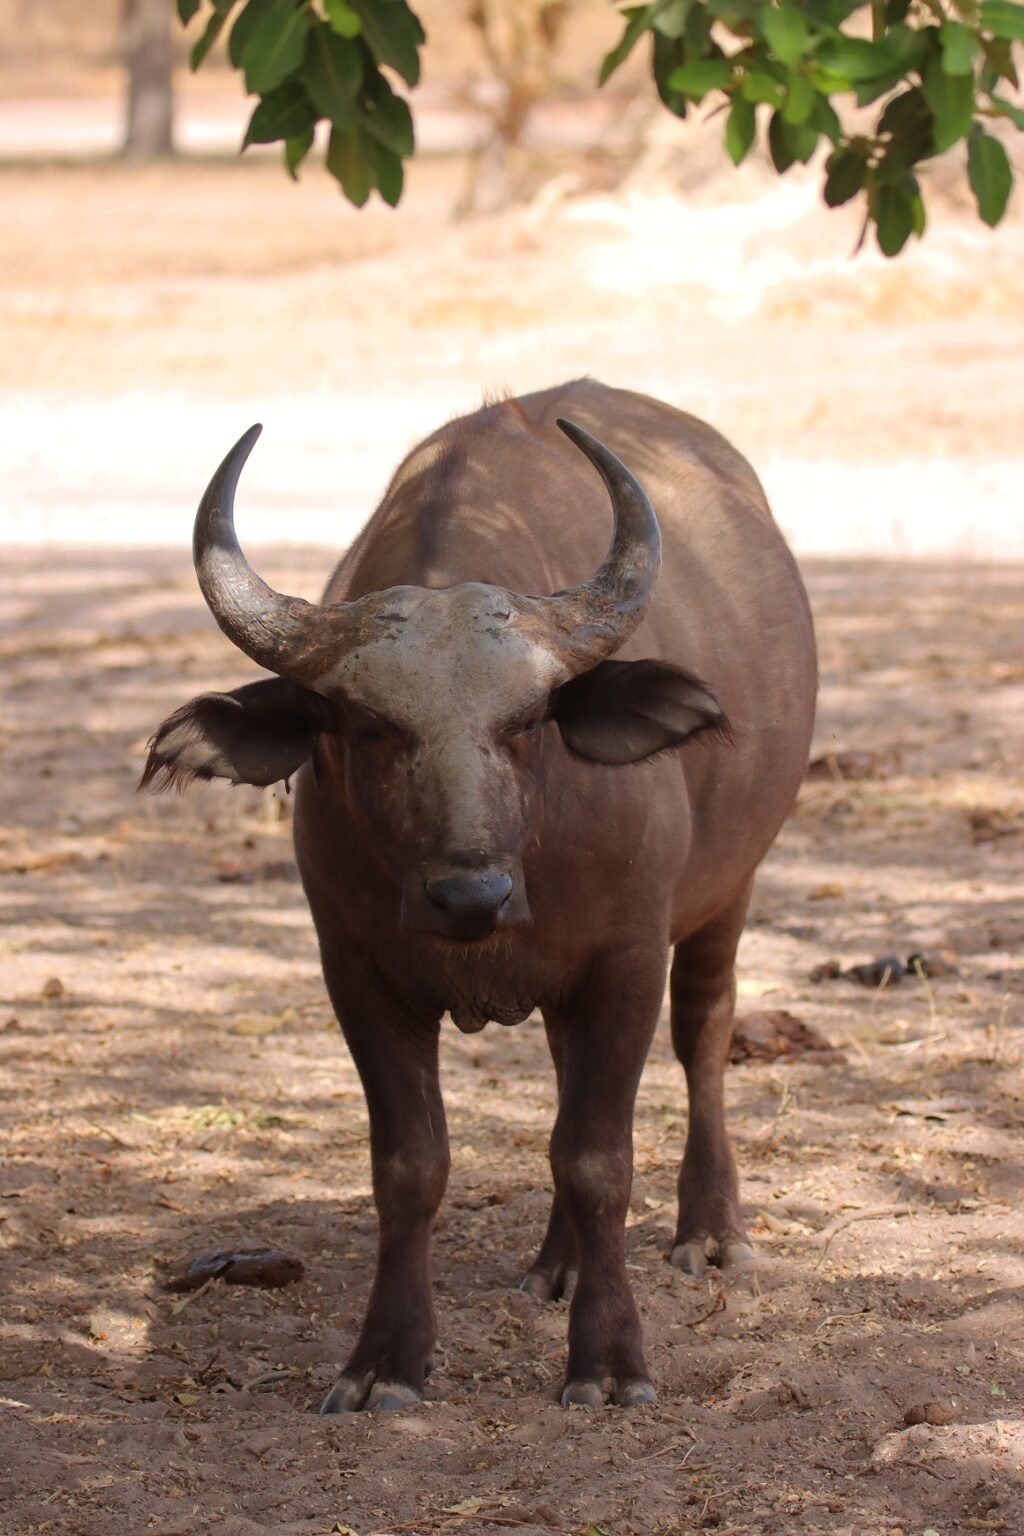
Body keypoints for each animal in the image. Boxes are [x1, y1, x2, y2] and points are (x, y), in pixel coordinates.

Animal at [142, 380, 816, 1413]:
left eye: (529, 719)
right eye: (369, 724)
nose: (471, 895)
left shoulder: (626, 959)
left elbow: (598, 1158)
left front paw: (610, 1361)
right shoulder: (358, 973)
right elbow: (411, 1166)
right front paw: (385, 1361)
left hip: (727, 895)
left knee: (705, 1035)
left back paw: (710, 1231)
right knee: (562, 1081)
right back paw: (559, 1263)